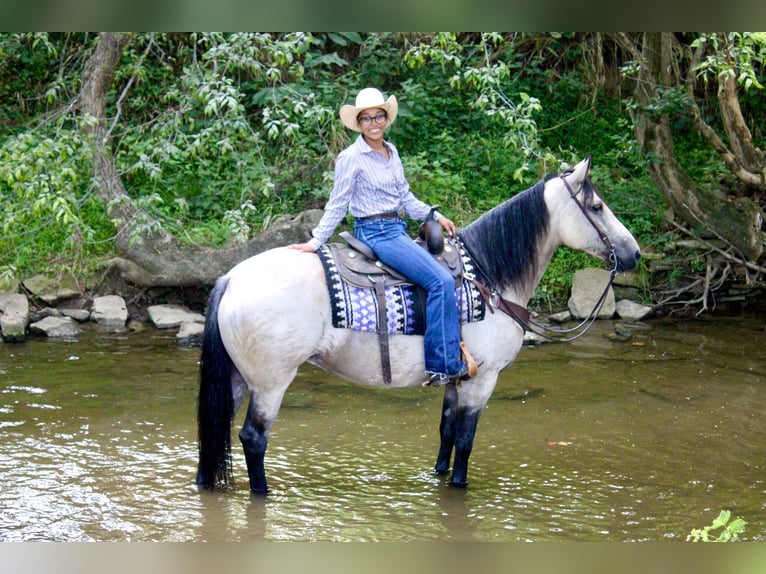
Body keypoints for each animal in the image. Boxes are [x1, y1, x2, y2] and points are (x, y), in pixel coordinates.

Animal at [196, 156, 640, 496]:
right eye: (596, 207)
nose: (634, 253)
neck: (489, 278)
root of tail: (231, 278)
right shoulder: (484, 379)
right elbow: (466, 441)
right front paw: (460, 487)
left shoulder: (455, 378)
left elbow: (446, 433)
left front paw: (440, 478)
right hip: (271, 381)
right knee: (253, 438)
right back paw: (262, 492)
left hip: (237, 378)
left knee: (212, 430)